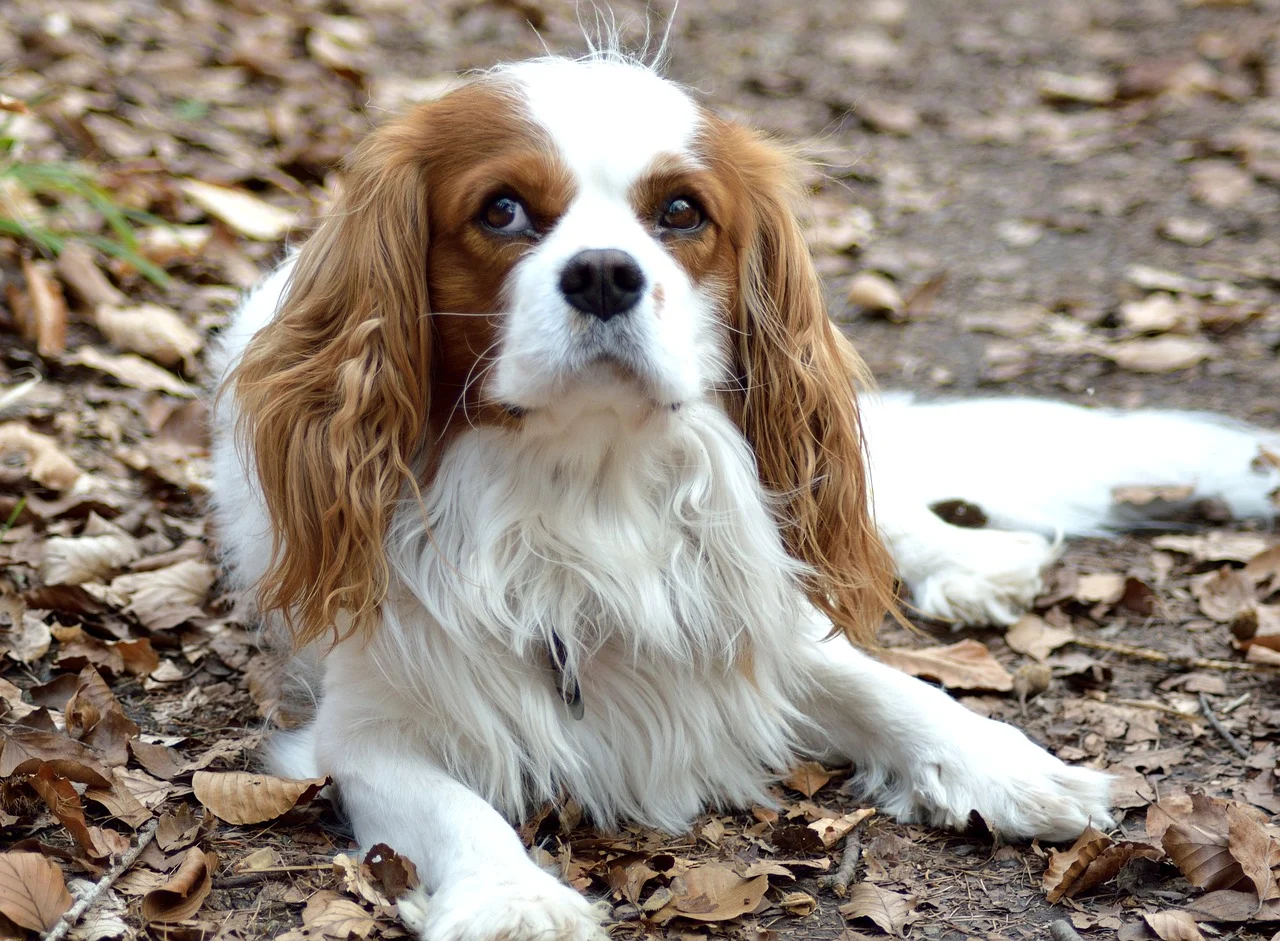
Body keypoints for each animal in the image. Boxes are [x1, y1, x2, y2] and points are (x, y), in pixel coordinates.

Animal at [204, 51, 1274, 941]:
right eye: (502, 210)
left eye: (681, 212)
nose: (606, 274)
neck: (588, 482)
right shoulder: (363, 726)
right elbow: (454, 810)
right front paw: (514, 903)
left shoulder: (755, 614)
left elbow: (890, 685)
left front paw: (1008, 764)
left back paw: (968, 561)